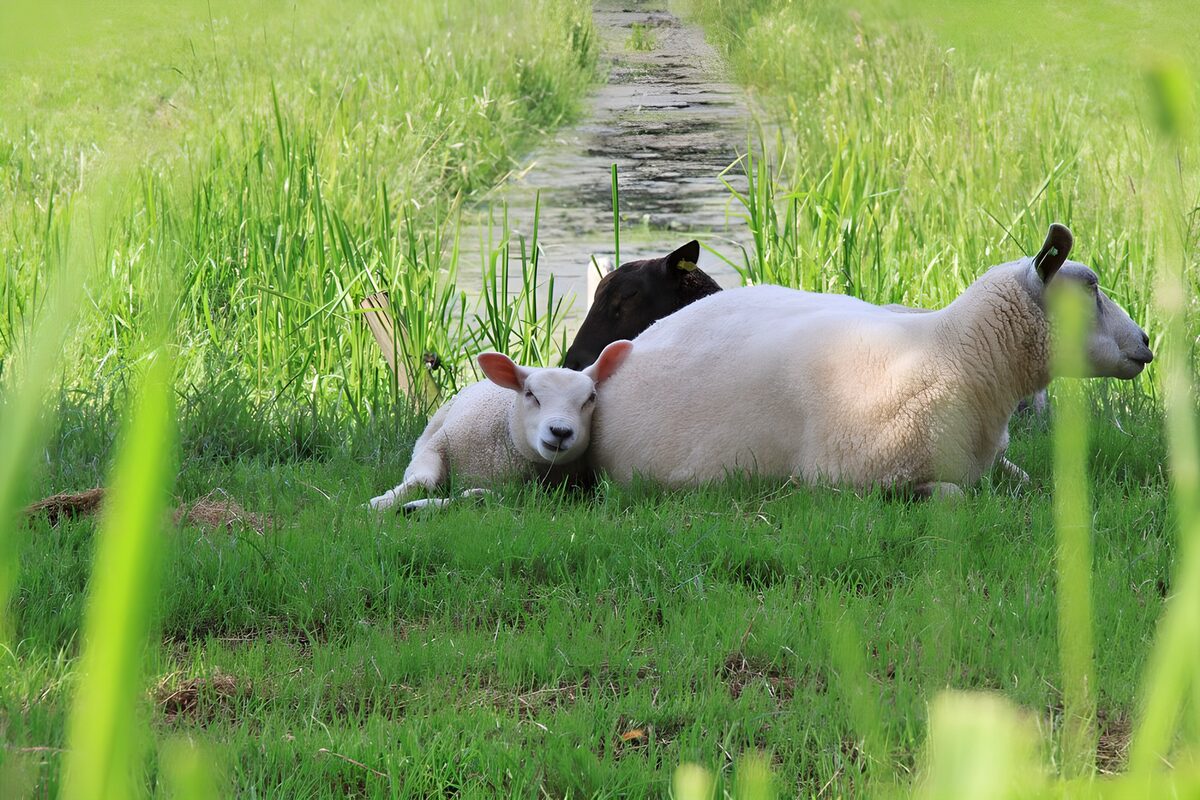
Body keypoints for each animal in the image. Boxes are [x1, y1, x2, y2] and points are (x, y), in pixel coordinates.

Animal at [368, 340, 633, 512]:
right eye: (530, 394)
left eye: (591, 398)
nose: (560, 431)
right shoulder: (437, 446)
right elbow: (421, 481)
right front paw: (379, 504)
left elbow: (485, 497)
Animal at [589, 224, 1153, 497]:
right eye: (1090, 286)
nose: (1147, 340)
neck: (956, 353)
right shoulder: (855, 481)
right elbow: (954, 495)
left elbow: (1026, 479)